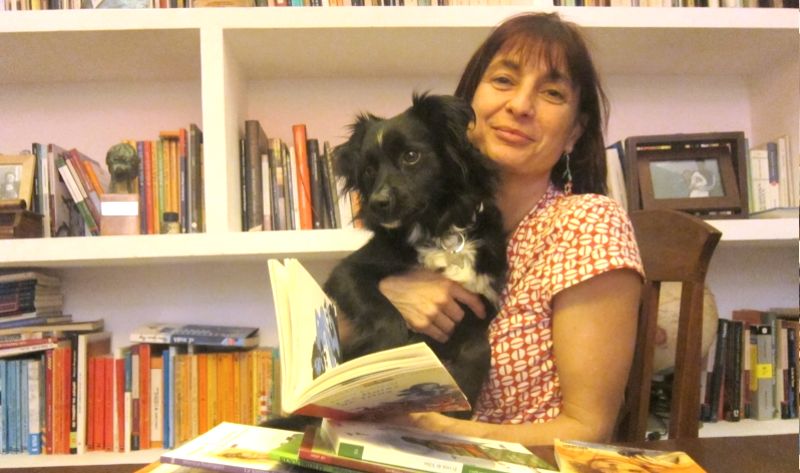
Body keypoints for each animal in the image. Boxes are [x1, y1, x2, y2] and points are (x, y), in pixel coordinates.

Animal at [324, 93, 507, 414]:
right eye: (369, 171)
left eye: (411, 156)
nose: (377, 203)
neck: (438, 233)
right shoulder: (347, 271)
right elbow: (386, 318)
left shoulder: (480, 302)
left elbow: (479, 349)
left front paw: (463, 397)